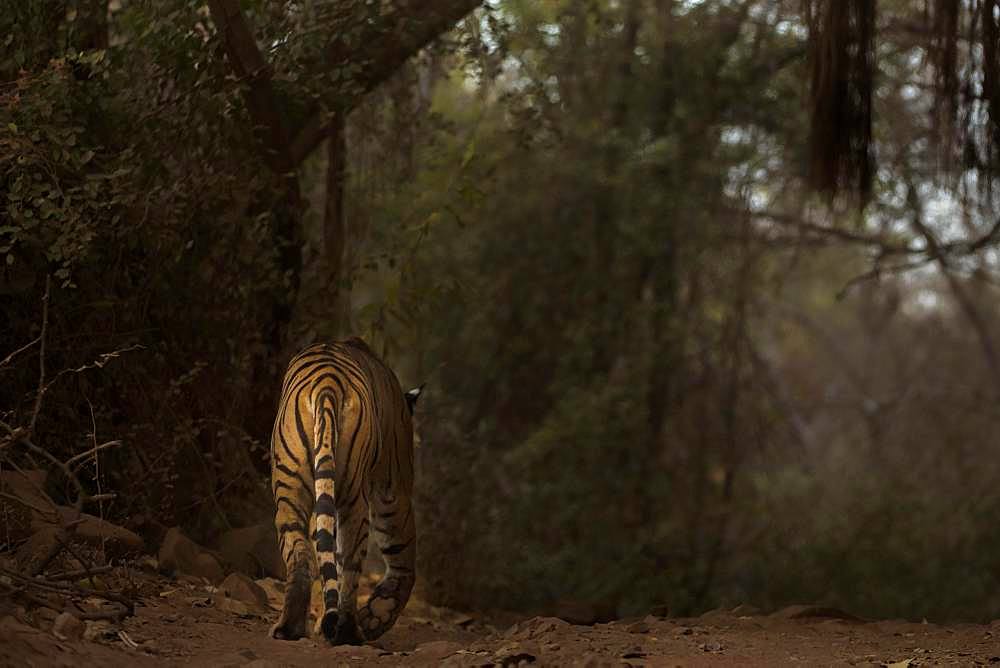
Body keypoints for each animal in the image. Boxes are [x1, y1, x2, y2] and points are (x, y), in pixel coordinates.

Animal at [268, 342, 420, 644]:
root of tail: (327, 381)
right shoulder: (393, 488)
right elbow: (404, 559)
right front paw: (376, 617)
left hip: (289, 486)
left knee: (300, 553)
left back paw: (289, 628)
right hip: (355, 496)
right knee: (350, 563)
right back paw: (350, 631)